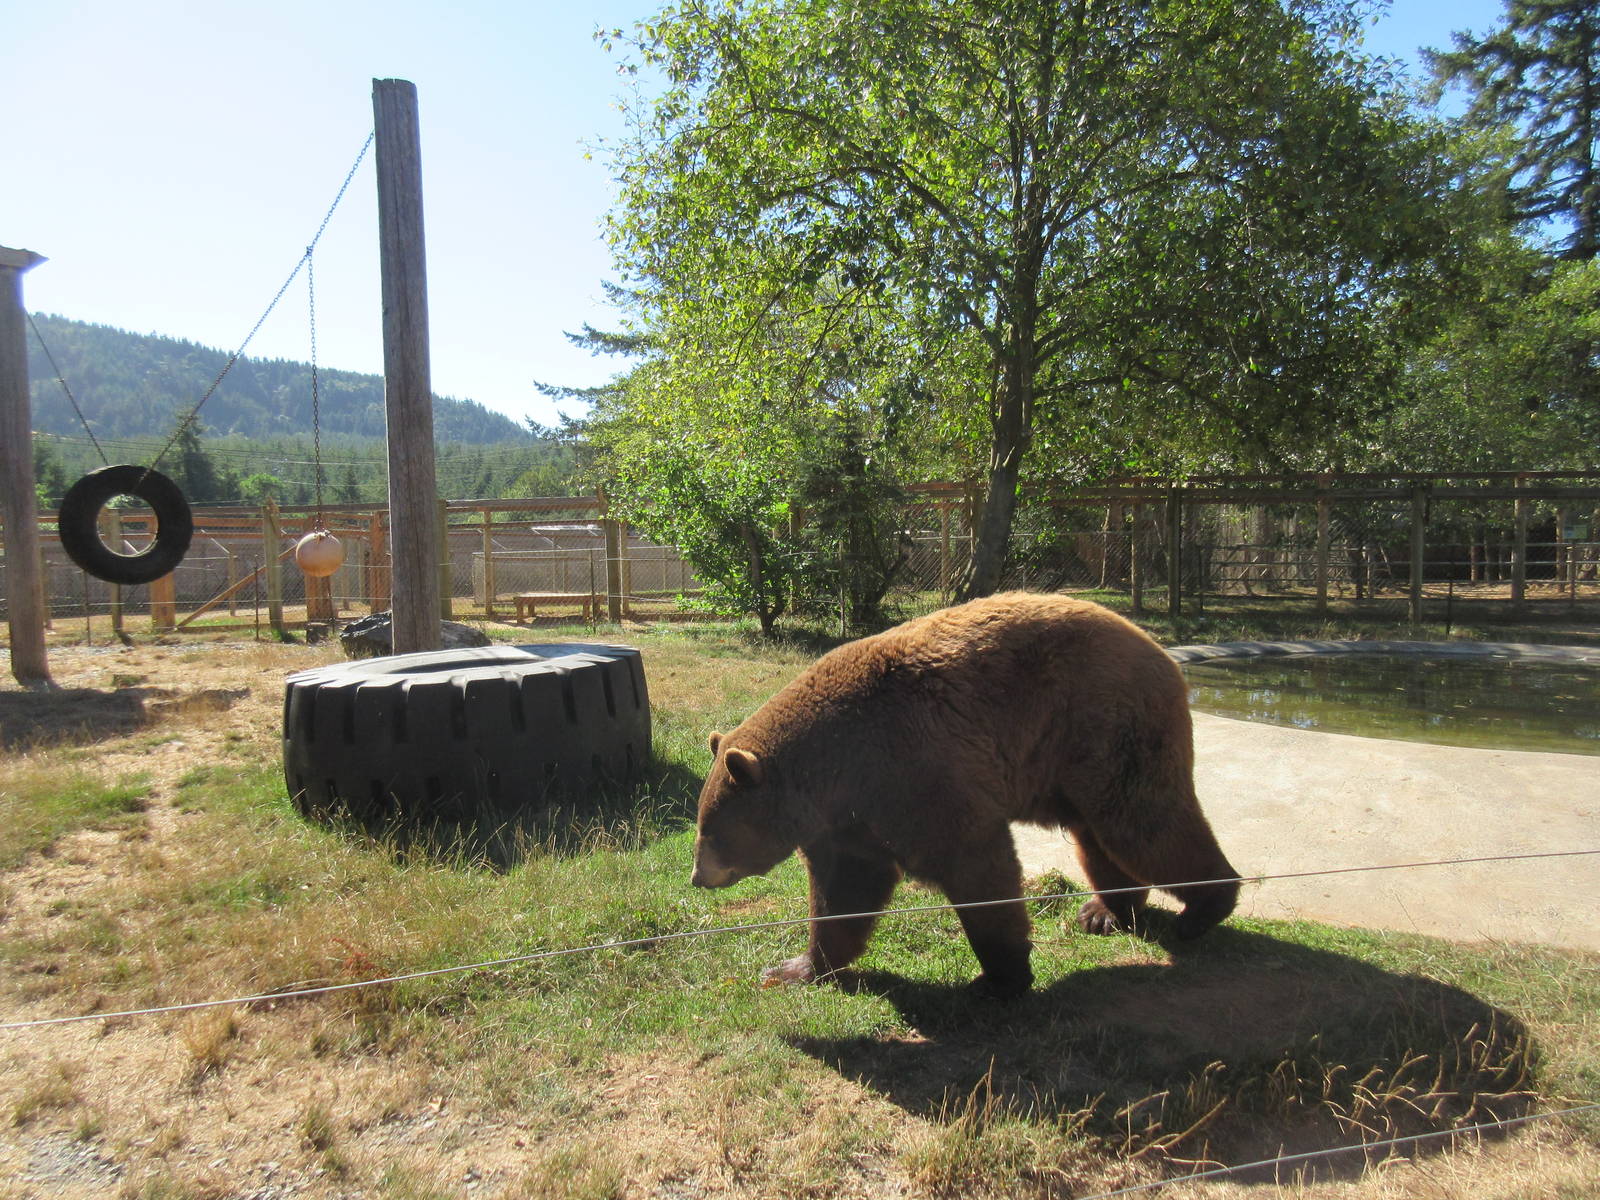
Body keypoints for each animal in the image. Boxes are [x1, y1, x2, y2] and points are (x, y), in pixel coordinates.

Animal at [690, 591, 1240, 996]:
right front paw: (795, 967)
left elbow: (974, 864)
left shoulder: (915, 768)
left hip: (1106, 726)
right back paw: (1104, 912)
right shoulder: (849, 821)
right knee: (1101, 835)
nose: (698, 876)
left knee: (1144, 824)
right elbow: (844, 892)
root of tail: (1157, 647)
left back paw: (1203, 908)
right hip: (1074, 764)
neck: (835, 771)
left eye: (712, 831)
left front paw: (1000, 977)